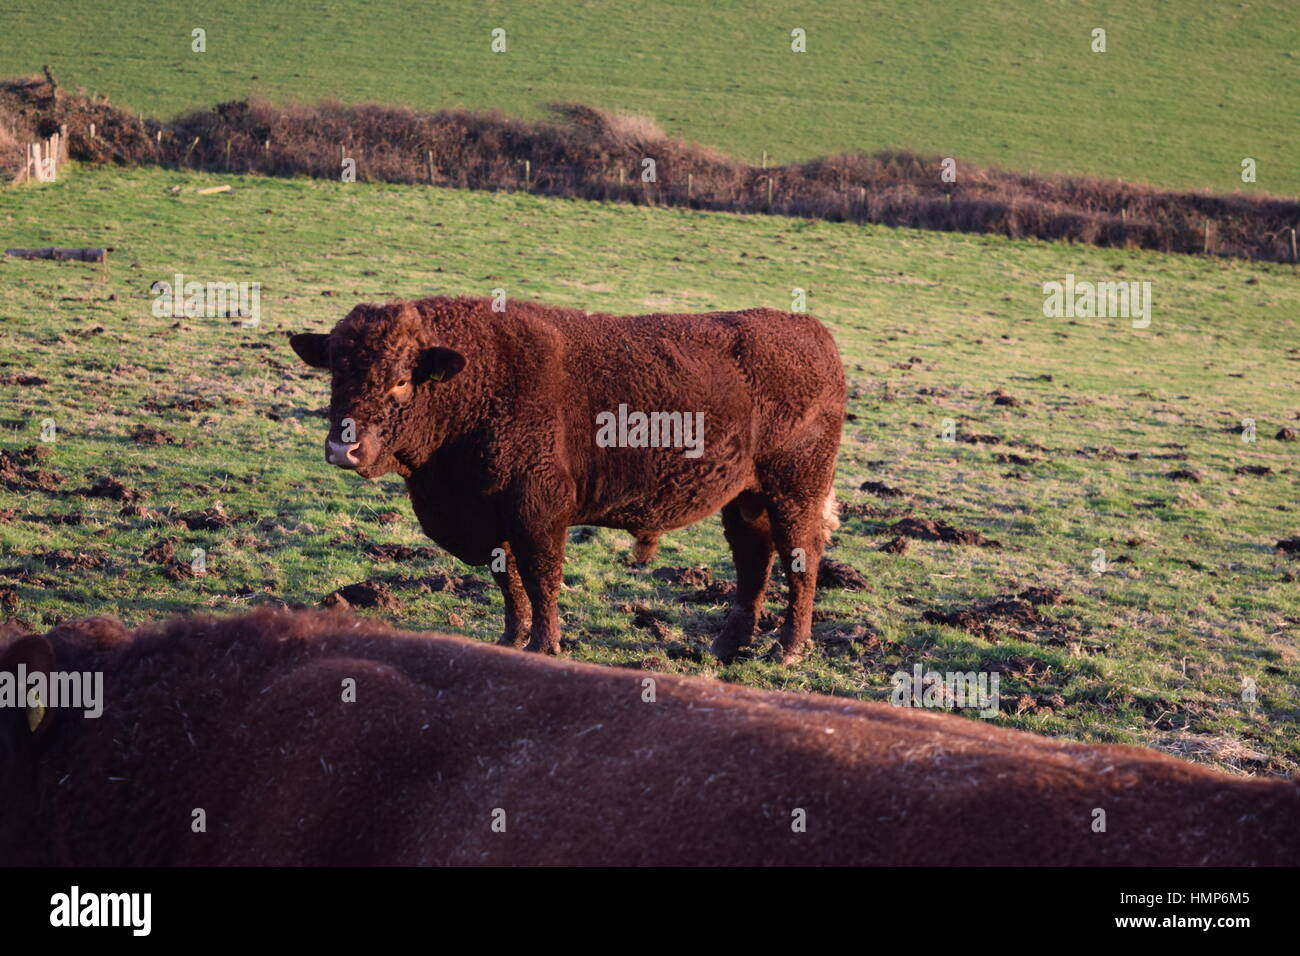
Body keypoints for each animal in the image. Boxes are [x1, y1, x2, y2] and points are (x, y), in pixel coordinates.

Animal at [289, 296, 846, 663]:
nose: (343, 448)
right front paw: (511, 639)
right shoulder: (494, 518)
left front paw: (544, 644)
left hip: (795, 491)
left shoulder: (537, 511)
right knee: (754, 560)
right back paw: (728, 645)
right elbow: (509, 581)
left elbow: (541, 578)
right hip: (746, 498)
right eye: (336, 372)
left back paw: (788, 649)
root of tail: (811, 331)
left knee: (801, 559)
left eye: (402, 380)